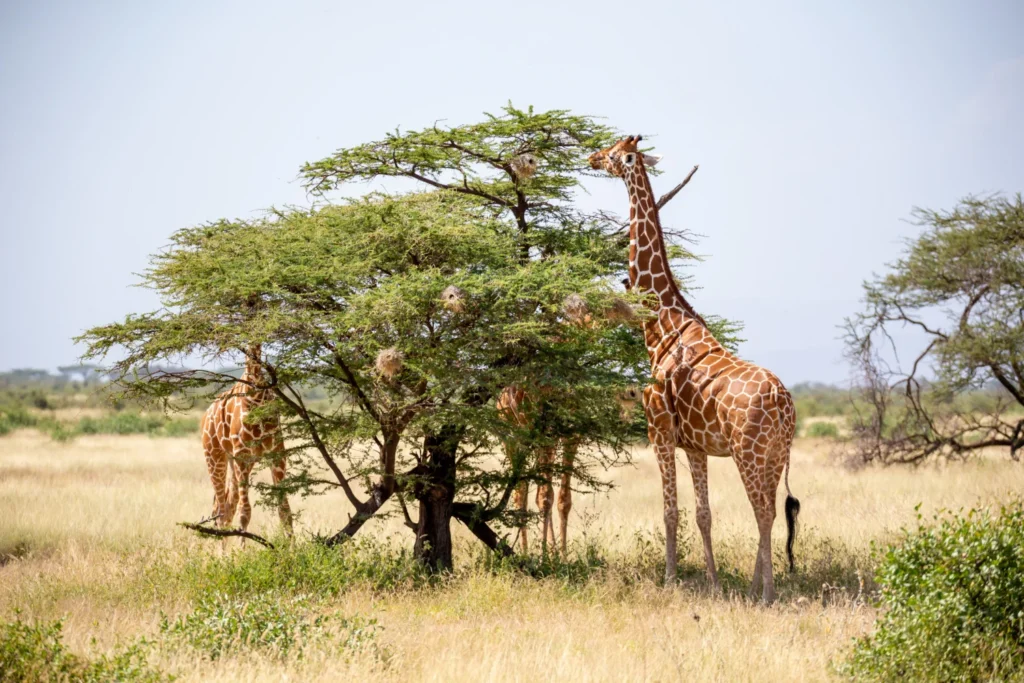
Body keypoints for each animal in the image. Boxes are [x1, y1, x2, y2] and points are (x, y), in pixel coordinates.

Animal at [201, 345, 293, 541]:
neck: (257, 393)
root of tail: (206, 415)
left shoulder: (277, 454)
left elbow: (285, 511)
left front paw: (293, 548)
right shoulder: (242, 455)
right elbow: (245, 512)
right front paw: (241, 550)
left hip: (237, 462)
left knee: (228, 508)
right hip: (214, 456)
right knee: (221, 512)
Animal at [589, 135, 800, 603]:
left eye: (614, 152)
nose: (591, 157)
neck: (661, 325)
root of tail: (783, 402)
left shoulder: (659, 430)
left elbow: (670, 510)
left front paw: (670, 579)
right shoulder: (696, 445)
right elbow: (704, 513)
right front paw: (715, 584)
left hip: (748, 451)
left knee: (763, 512)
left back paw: (767, 593)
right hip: (776, 453)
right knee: (770, 511)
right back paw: (754, 585)